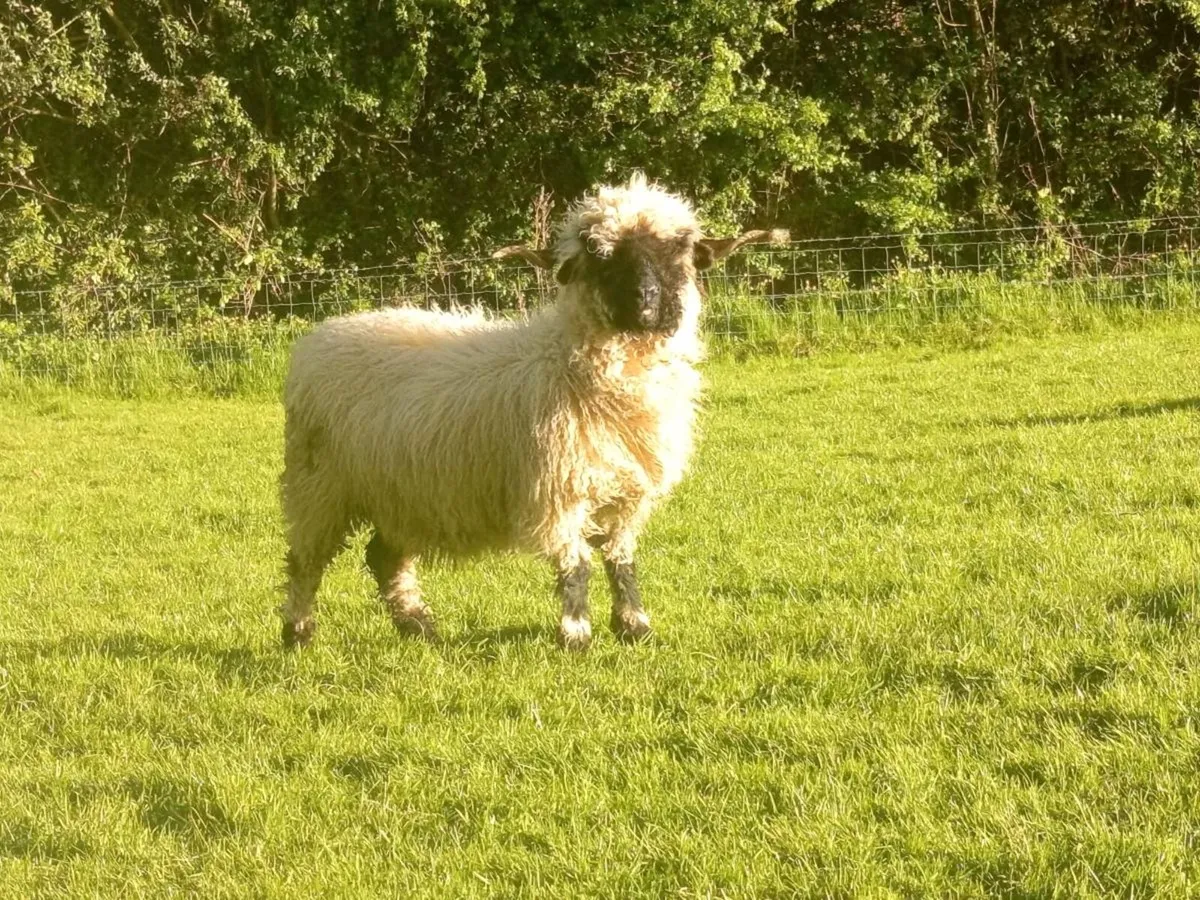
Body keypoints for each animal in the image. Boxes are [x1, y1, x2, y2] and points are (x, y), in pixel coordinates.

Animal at [278, 173, 784, 650]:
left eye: (678, 250)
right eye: (600, 255)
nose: (645, 298)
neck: (570, 363)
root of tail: (320, 335)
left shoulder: (628, 494)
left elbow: (622, 561)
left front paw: (635, 627)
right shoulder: (559, 490)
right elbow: (577, 565)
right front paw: (576, 636)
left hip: (401, 491)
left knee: (384, 557)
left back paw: (419, 627)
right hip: (320, 485)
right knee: (305, 560)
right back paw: (298, 633)